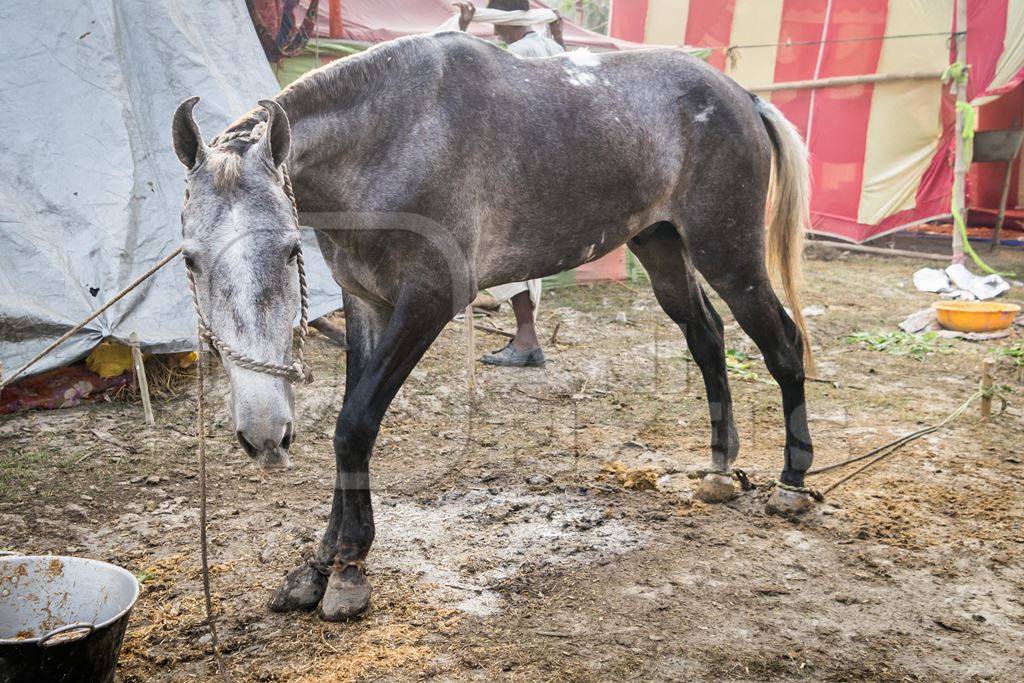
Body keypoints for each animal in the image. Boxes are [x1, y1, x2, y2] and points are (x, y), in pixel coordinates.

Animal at [174, 31, 815, 622]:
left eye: (289, 251)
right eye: (190, 259)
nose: (264, 435)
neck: (392, 138)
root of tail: (741, 97)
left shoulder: (429, 302)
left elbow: (354, 426)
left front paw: (350, 569)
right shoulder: (367, 304)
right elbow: (350, 426)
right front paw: (318, 565)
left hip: (729, 252)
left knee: (783, 344)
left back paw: (792, 481)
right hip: (661, 246)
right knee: (706, 337)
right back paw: (720, 468)